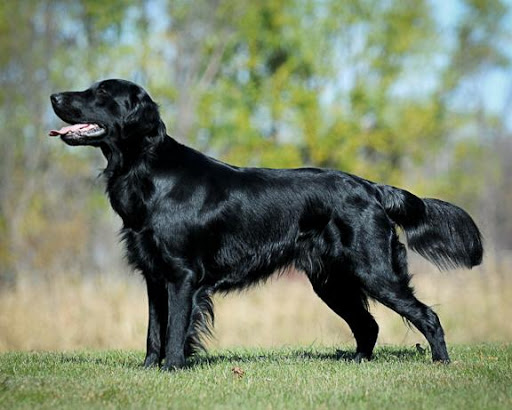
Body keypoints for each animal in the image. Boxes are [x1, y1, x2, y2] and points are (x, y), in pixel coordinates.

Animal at [49, 78, 484, 370]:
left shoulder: (182, 275)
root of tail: (371, 187)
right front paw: (148, 371)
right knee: (369, 325)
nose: (54, 96)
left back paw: (442, 364)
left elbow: (174, 331)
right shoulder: (154, 275)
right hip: (332, 280)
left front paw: (172, 369)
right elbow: (154, 331)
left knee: (427, 316)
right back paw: (357, 363)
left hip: (373, 271)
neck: (148, 171)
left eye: (102, 94)